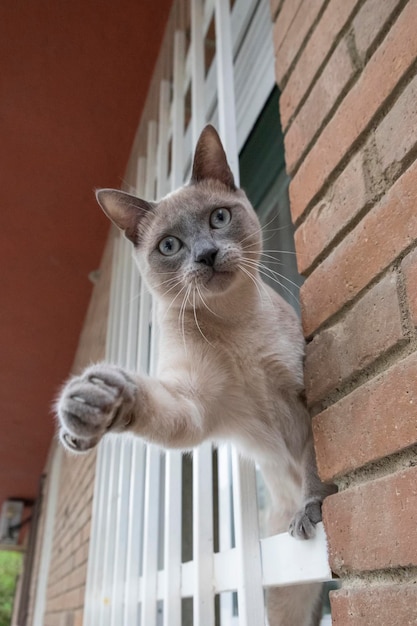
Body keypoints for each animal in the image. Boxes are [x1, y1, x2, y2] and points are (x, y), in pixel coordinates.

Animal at [56, 124, 334, 620]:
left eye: (218, 218)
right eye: (170, 246)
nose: (205, 254)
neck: (231, 325)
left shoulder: (302, 395)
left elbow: (313, 463)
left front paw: (312, 507)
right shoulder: (195, 407)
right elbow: (149, 403)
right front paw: (89, 408)